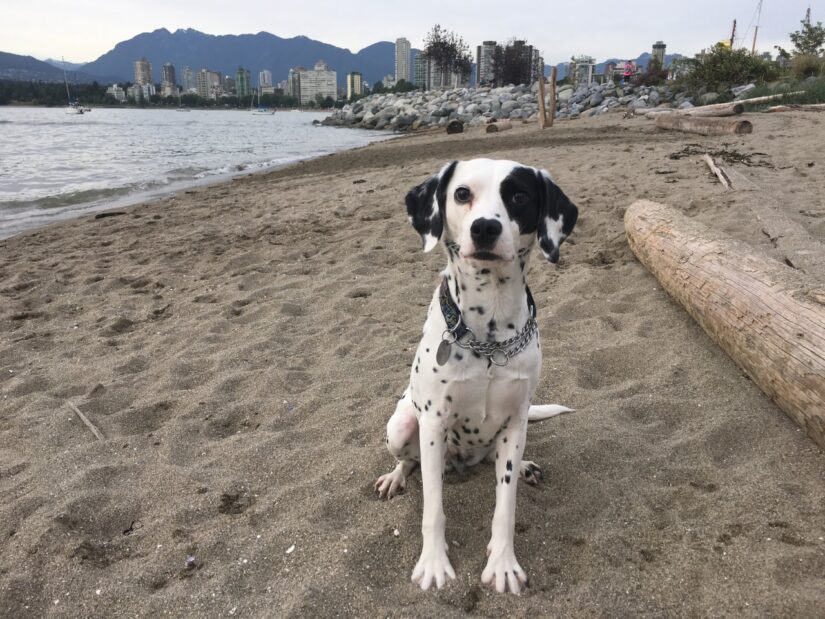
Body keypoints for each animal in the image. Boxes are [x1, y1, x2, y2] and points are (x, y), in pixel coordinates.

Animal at [374, 160, 576, 596]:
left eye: (518, 195)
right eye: (462, 193)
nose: (485, 228)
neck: (489, 338)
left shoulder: (515, 421)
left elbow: (505, 506)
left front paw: (502, 563)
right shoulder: (433, 423)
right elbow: (433, 508)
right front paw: (434, 563)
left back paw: (525, 466)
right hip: (402, 424)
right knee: (409, 461)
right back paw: (395, 477)